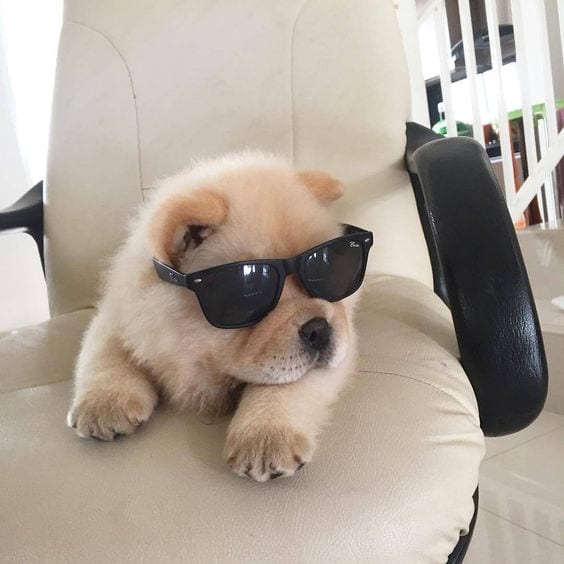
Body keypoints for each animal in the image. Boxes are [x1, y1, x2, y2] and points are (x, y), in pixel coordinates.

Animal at [67, 152, 370, 482]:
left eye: (330, 272)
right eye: (249, 295)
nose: (319, 329)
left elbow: (285, 387)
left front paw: (265, 438)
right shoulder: (117, 314)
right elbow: (106, 355)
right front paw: (104, 406)